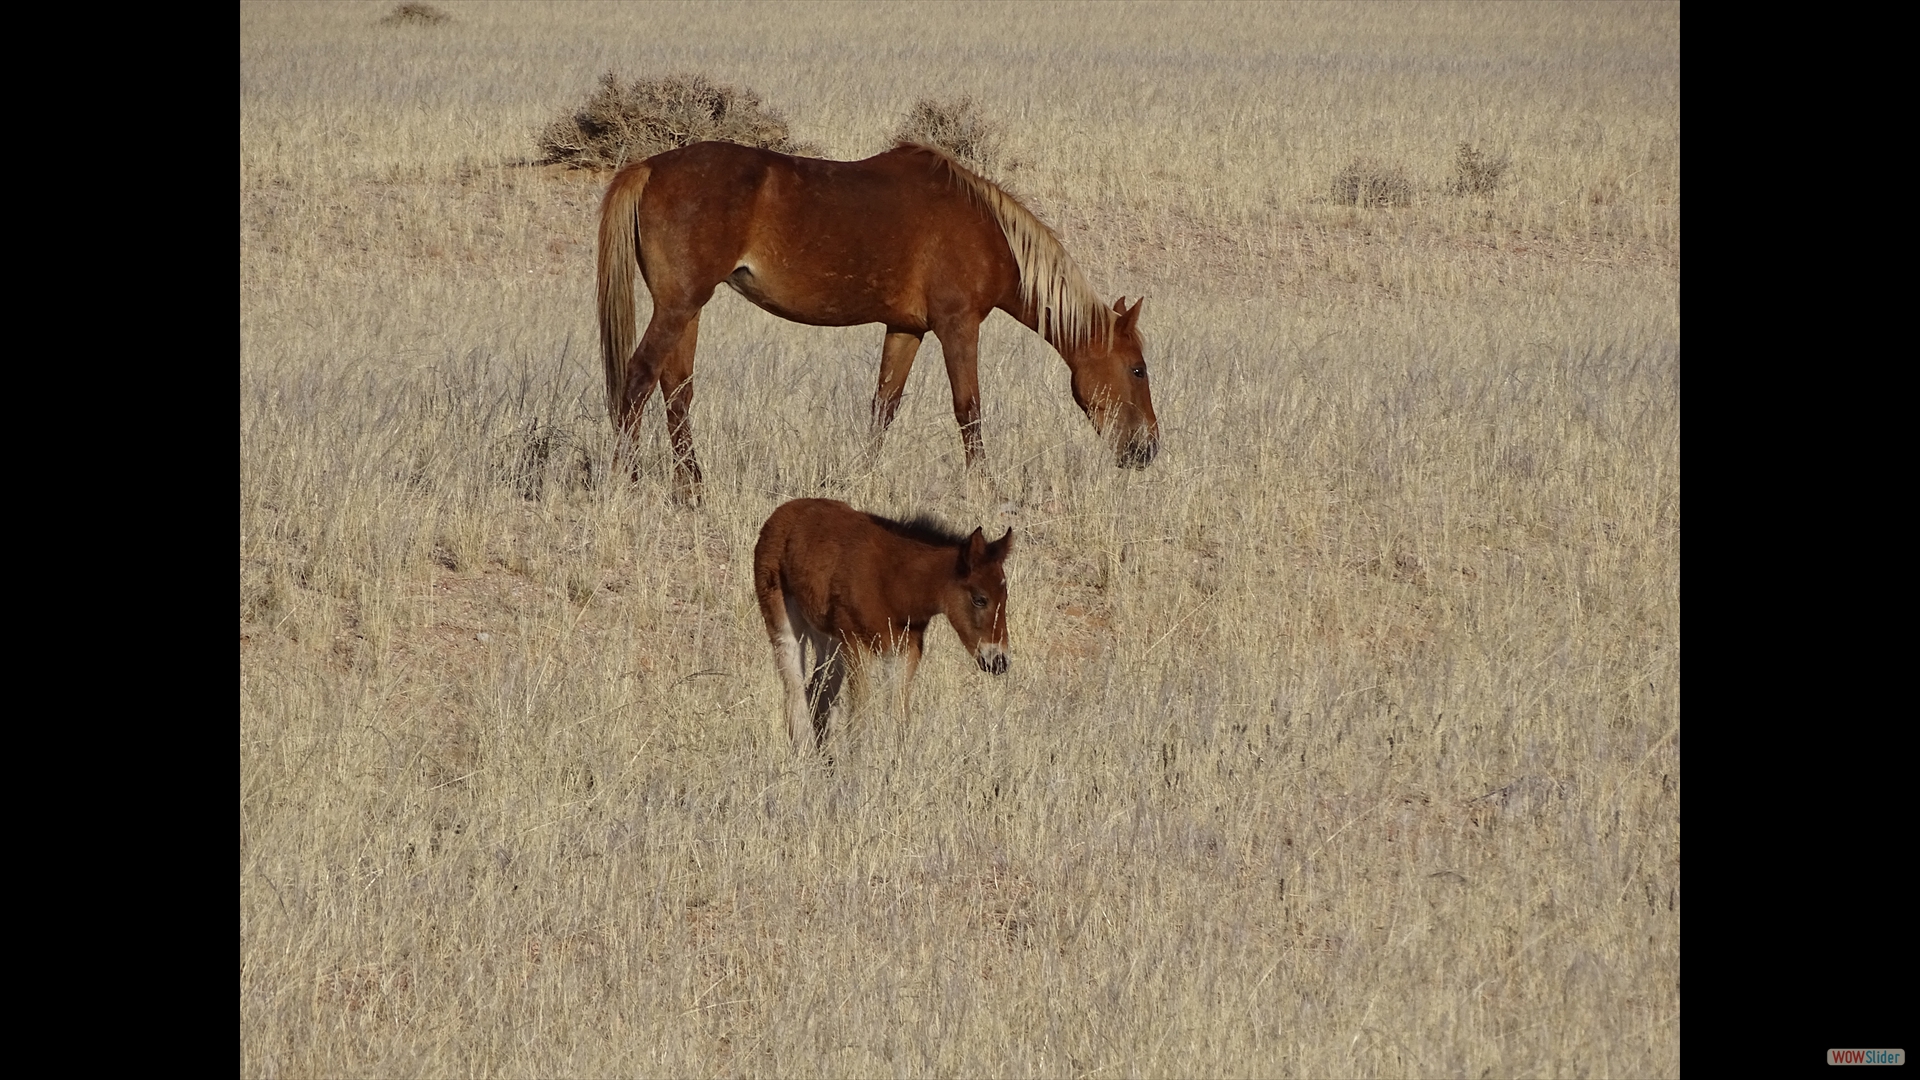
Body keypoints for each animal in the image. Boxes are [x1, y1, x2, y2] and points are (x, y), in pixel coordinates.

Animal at [595, 138, 1152, 499]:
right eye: (1138, 369)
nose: (1147, 450)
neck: (988, 230)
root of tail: (649, 168)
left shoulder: (907, 329)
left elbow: (884, 406)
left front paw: (861, 480)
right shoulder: (958, 326)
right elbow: (969, 408)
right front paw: (986, 489)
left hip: (688, 308)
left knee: (676, 389)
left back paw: (692, 487)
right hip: (679, 306)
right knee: (639, 378)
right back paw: (629, 482)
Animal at [752, 495, 1021, 749]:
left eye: (1005, 597)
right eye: (979, 599)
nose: (998, 661)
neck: (892, 582)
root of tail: (779, 514)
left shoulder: (907, 648)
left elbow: (899, 716)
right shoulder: (858, 645)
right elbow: (861, 717)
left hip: (830, 640)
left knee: (819, 695)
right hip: (784, 626)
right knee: (795, 693)